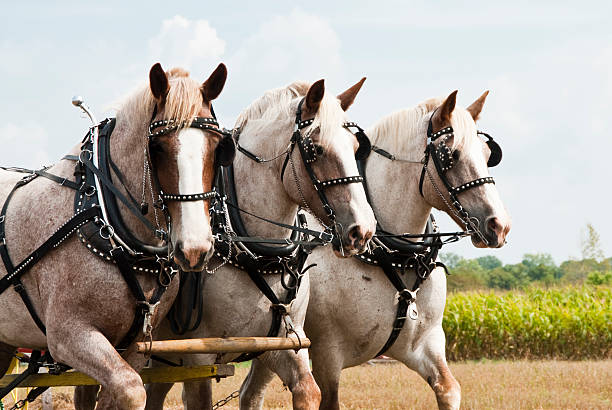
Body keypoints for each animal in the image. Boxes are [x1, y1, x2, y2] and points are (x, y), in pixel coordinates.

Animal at [0, 62, 234, 408]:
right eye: (157, 148)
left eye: (218, 147)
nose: (194, 249)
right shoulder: (68, 336)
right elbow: (133, 389)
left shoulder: (135, 347)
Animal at [137, 77, 378, 410]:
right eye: (315, 149)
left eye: (355, 147)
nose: (362, 231)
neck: (257, 249)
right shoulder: (198, 356)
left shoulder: (285, 343)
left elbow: (308, 391)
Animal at [239, 90, 512, 410]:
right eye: (452, 156)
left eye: (487, 155)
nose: (499, 225)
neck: (394, 256)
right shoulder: (327, 354)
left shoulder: (425, 344)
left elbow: (449, 388)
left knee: (250, 393)